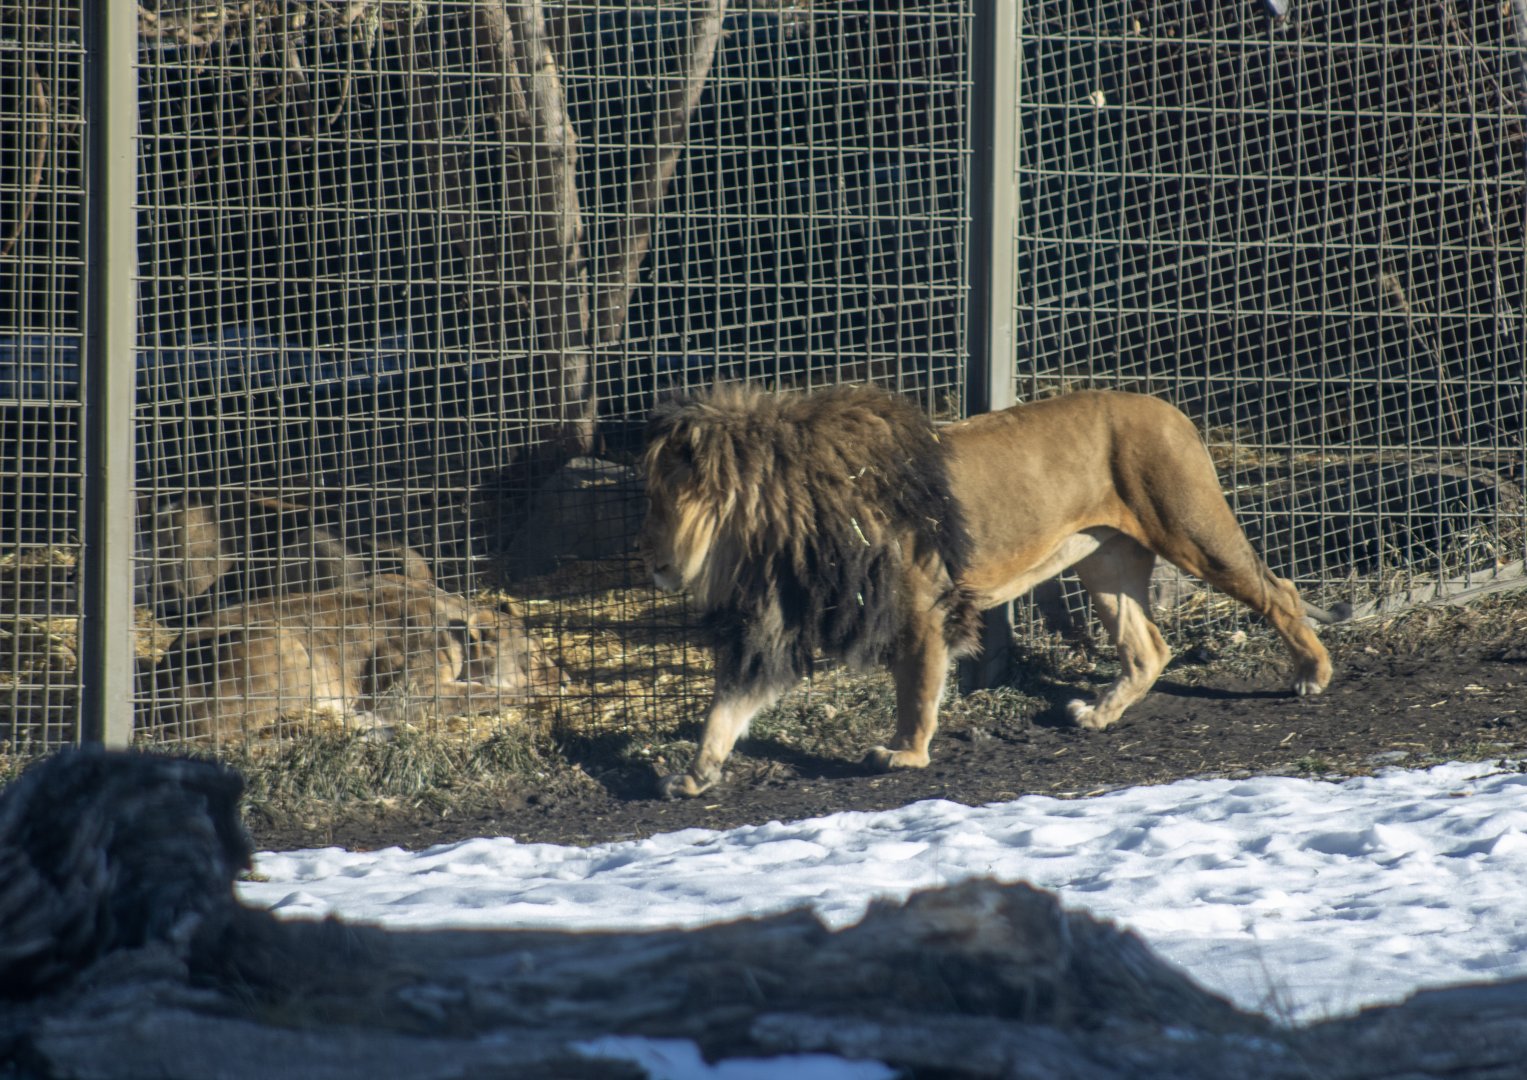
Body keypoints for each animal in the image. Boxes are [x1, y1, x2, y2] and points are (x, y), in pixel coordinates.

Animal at [152, 575, 561, 740]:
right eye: (535, 658)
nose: (568, 680)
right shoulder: (406, 694)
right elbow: (482, 693)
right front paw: (537, 693)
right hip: (280, 640)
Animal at [639, 383, 1350, 799]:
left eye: (662, 503)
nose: (651, 564)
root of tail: (1172, 410)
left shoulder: (921, 604)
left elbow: (917, 687)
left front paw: (906, 755)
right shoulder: (781, 622)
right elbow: (728, 705)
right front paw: (696, 774)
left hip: (1192, 529)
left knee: (1280, 590)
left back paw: (1313, 674)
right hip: (1105, 564)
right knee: (1148, 648)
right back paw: (1098, 715)